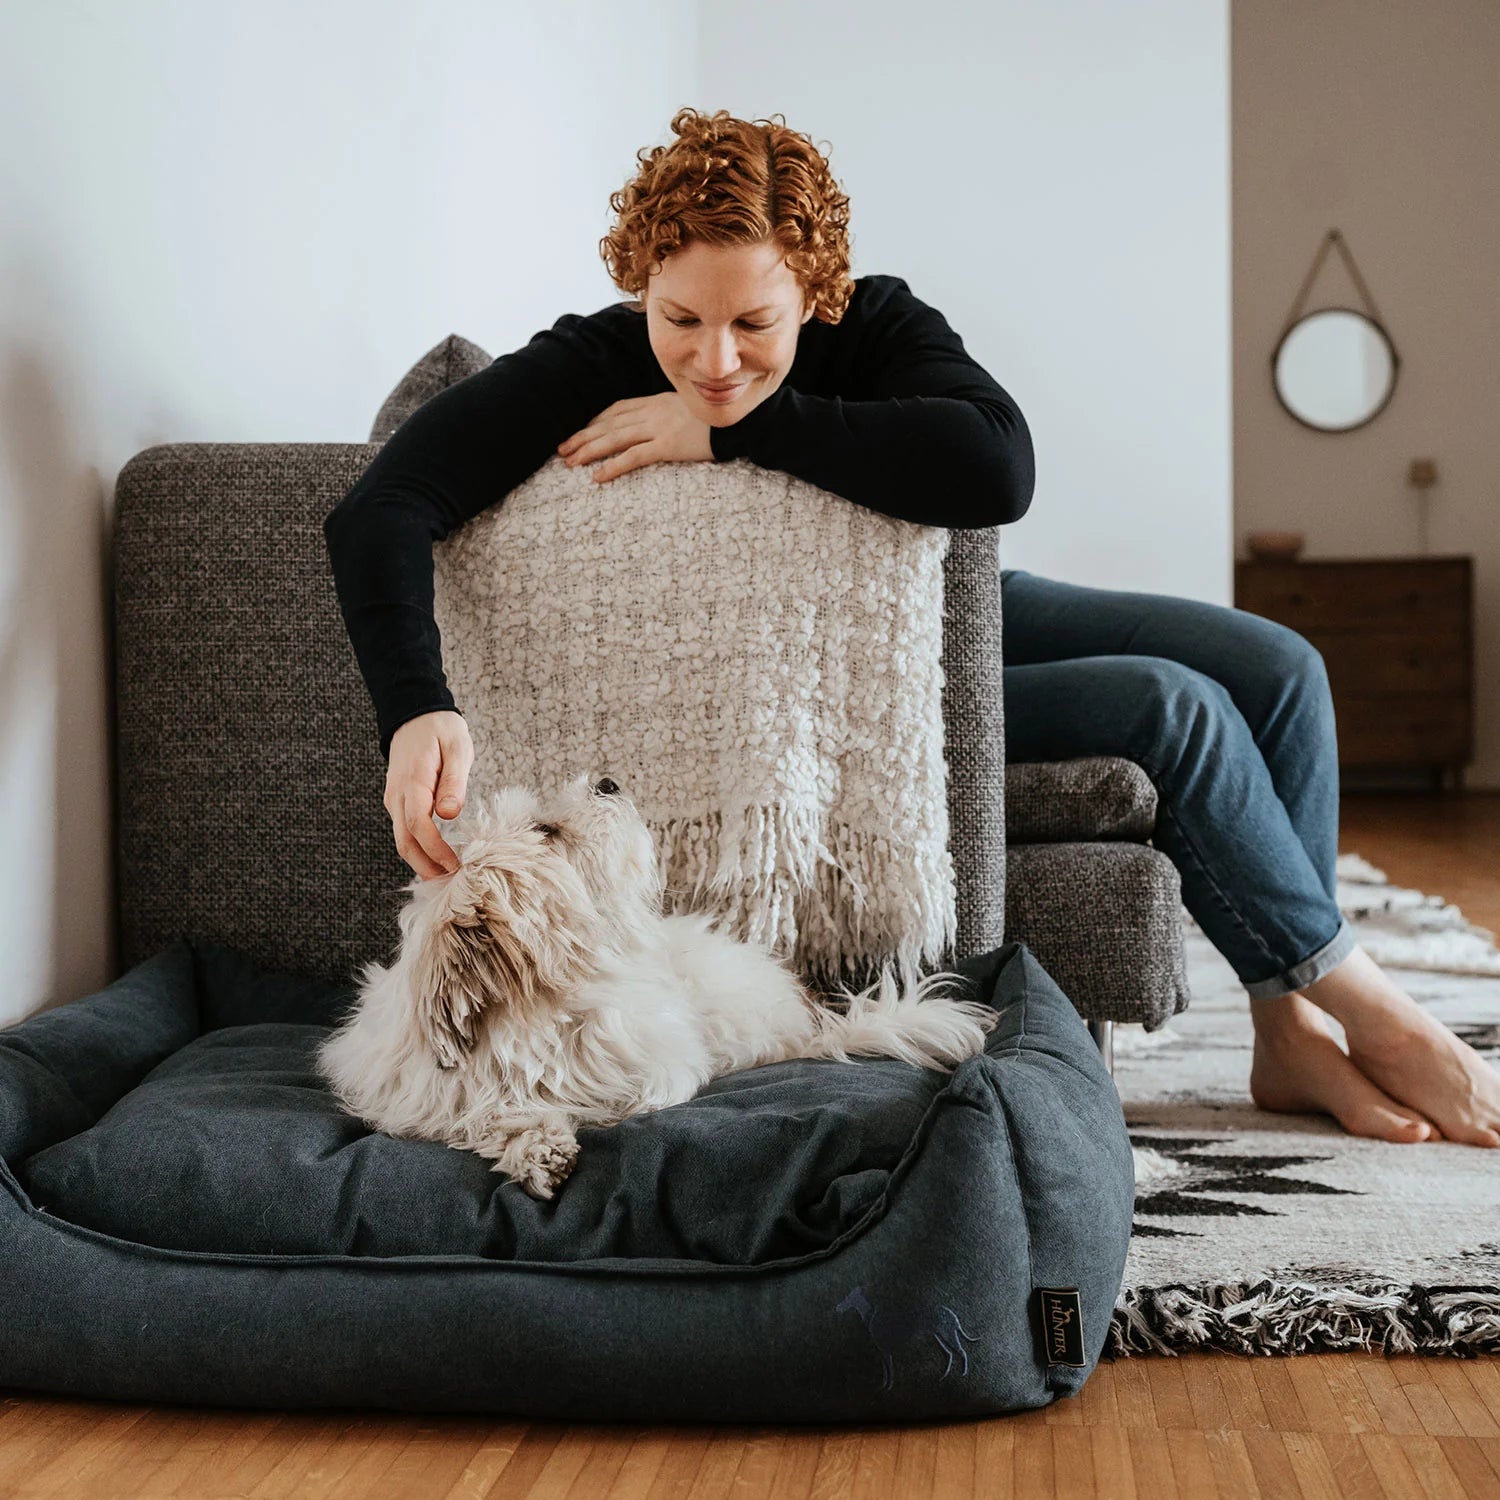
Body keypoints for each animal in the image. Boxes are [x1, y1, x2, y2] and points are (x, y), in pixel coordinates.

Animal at [316, 773, 998, 1199]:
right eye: (545, 832)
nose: (608, 781)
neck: (538, 1012)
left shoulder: (657, 1067)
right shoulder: (429, 1100)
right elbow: (488, 1115)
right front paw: (535, 1147)